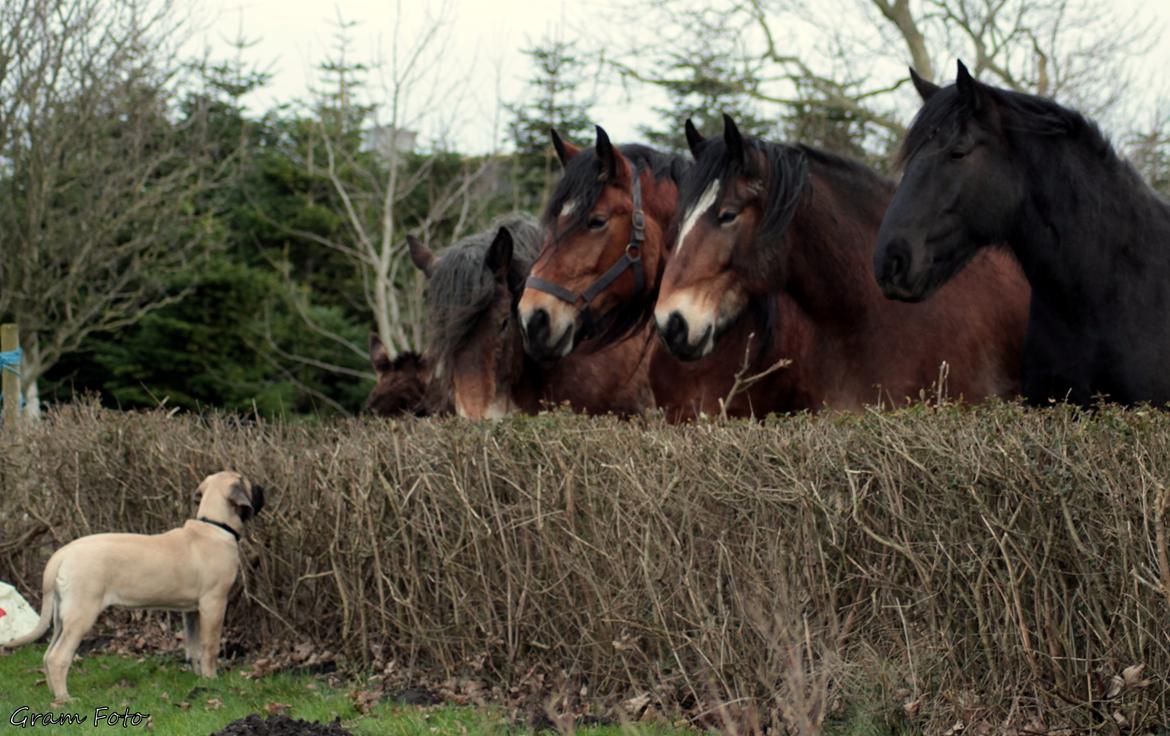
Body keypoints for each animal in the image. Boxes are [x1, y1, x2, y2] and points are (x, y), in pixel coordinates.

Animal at [0, 470, 264, 702]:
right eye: (247, 482)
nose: (263, 488)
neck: (214, 525)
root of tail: (62, 554)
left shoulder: (192, 611)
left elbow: (195, 647)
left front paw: (199, 679)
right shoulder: (214, 603)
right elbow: (210, 647)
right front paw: (212, 680)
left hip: (61, 616)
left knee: (47, 654)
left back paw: (54, 694)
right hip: (80, 614)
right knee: (58, 657)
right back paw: (65, 699)